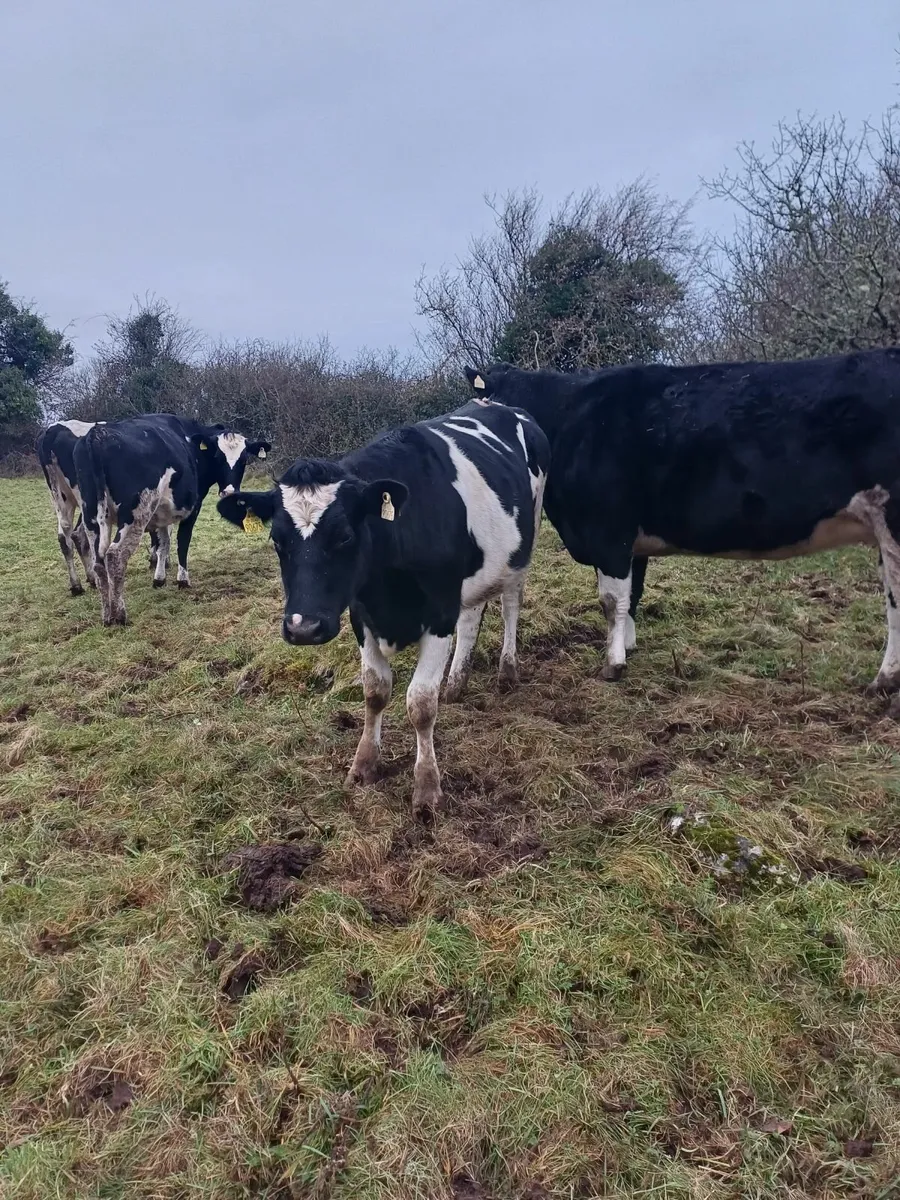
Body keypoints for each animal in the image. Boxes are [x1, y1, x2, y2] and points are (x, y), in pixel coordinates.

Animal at [73, 414, 271, 624]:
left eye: (244, 460)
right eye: (218, 456)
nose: (229, 492)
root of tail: (97, 435)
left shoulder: (160, 512)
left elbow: (163, 543)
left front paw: (159, 578)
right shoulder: (193, 508)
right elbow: (182, 542)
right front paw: (182, 580)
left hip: (91, 518)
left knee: (98, 562)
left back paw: (107, 616)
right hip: (135, 516)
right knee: (114, 556)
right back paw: (120, 615)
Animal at [217, 401, 550, 818]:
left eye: (345, 536)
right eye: (277, 540)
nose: (303, 627)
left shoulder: (440, 612)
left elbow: (421, 703)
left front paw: (427, 788)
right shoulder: (361, 615)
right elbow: (375, 691)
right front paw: (363, 765)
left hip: (524, 543)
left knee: (509, 605)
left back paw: (507, 669)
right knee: (472, 616)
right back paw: (456, 682)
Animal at [466, 349, 900, 695]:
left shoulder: (609, 531)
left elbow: (611, 599)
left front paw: (613, 664)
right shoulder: (632, 541)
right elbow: (633, 594)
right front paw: (629, 647)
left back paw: (884, 682)